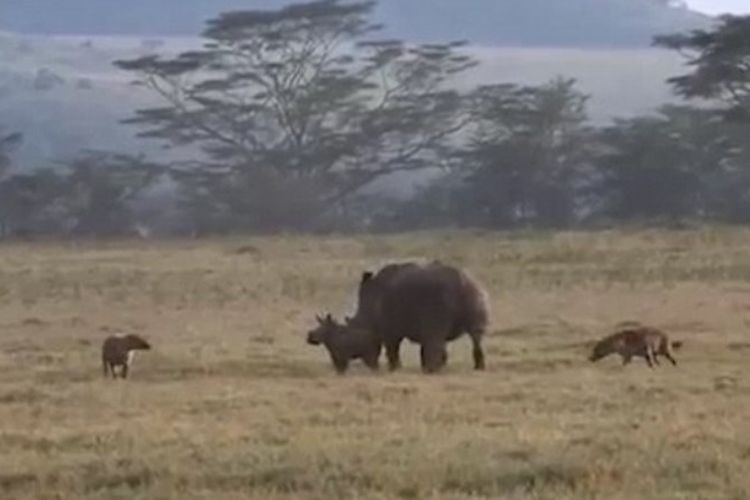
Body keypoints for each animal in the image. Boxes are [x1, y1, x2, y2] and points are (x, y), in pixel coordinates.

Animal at [348, 262, 490, 372]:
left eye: (357, 325)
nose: (372, 366)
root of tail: (464, 284)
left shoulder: (390, 327)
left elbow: (393, 347)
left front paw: (395, 368)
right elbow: (424, 346)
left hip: (439, 300)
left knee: (437, 336)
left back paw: (432, 370)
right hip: (476, 296)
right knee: (476, 336)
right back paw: (478, 368)